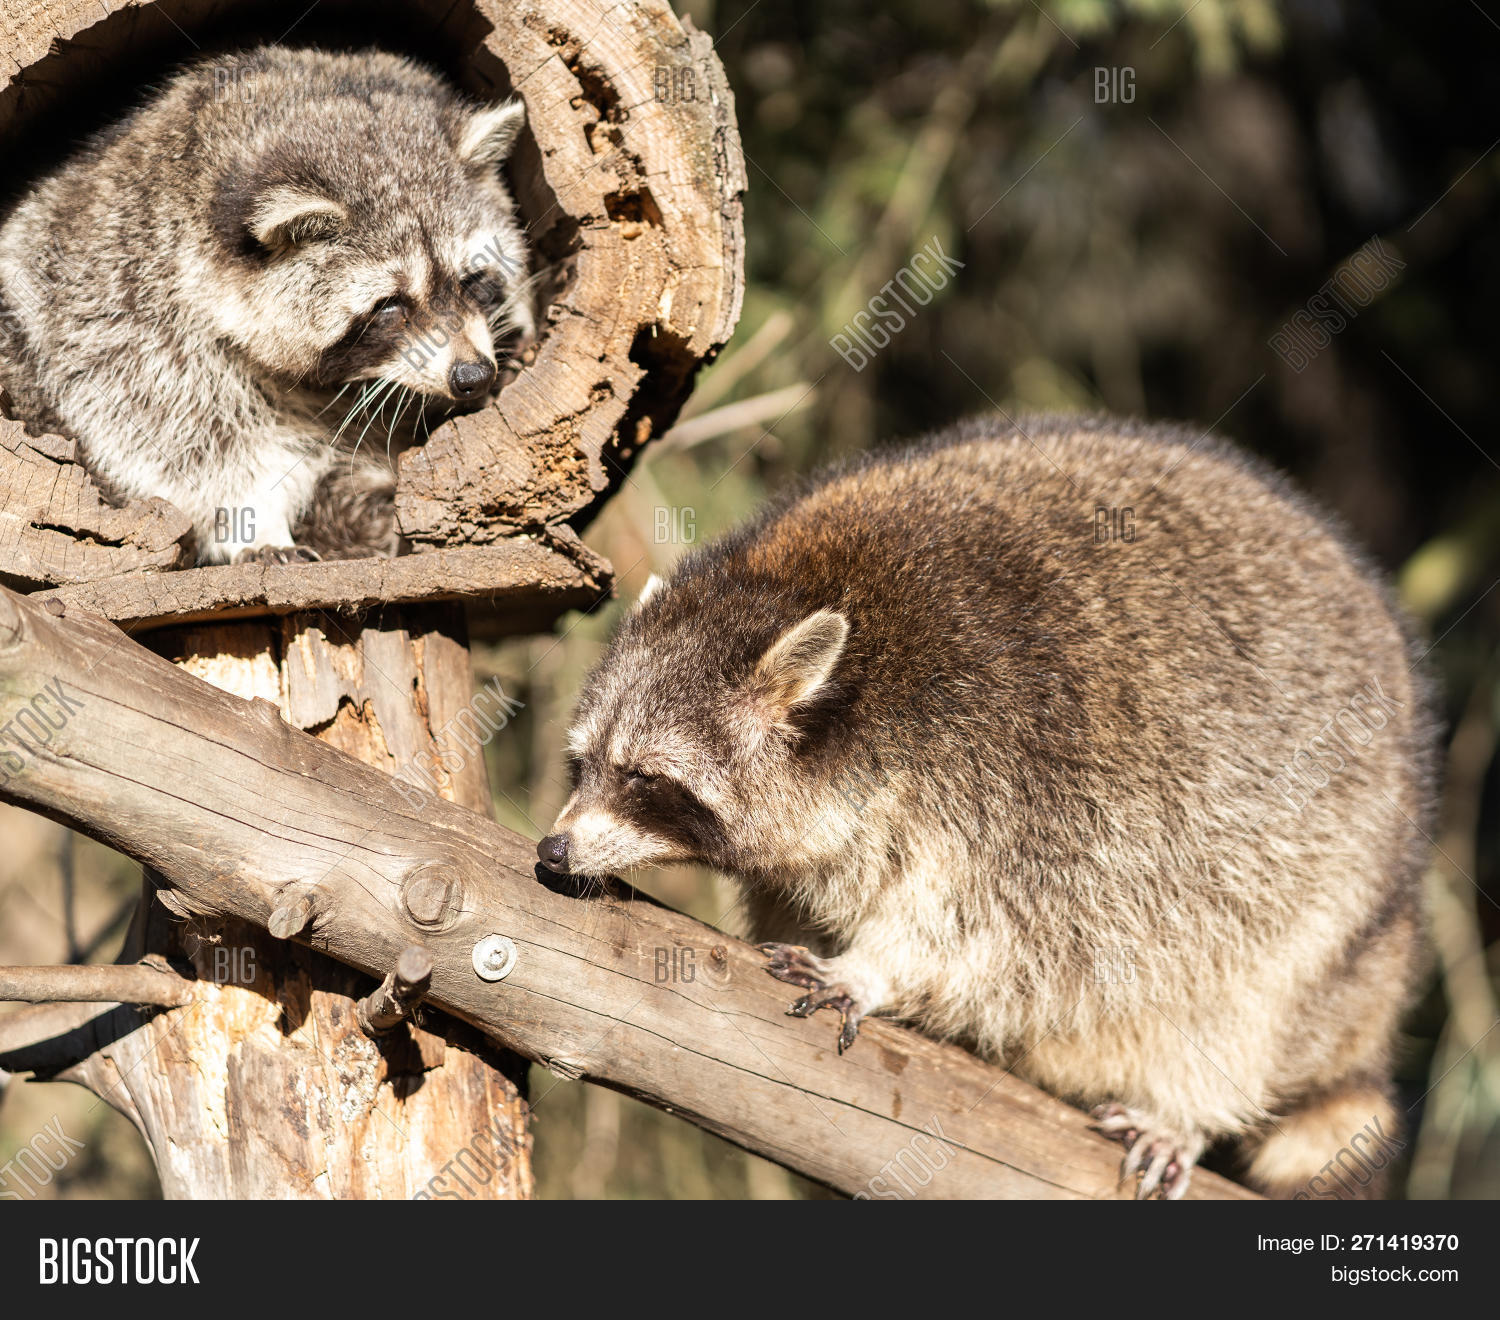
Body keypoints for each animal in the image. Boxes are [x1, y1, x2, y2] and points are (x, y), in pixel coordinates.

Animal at [0, 46, 535, 563]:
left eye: (471, 280)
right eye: (389, 305)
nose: (472, 376)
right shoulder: (124, 313)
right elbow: (184, 442)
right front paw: (251, 520)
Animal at [541, 414, 1437, 1200]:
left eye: (645, 779)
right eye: (583, 764)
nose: (553, 852)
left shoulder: (1034, 785)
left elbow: (999, 935)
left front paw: (875, 967)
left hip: (1330, 887)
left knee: (1245, 993)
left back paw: (1185, 1102)